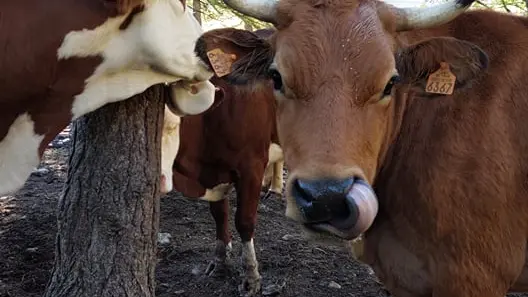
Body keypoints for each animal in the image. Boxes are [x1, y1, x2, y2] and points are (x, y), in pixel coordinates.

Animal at [172, 27, 280, 294]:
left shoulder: (252, 166)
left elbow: (244, 220)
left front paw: (251, 277)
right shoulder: (214, 170)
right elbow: (219, 214)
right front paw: (220, 262)